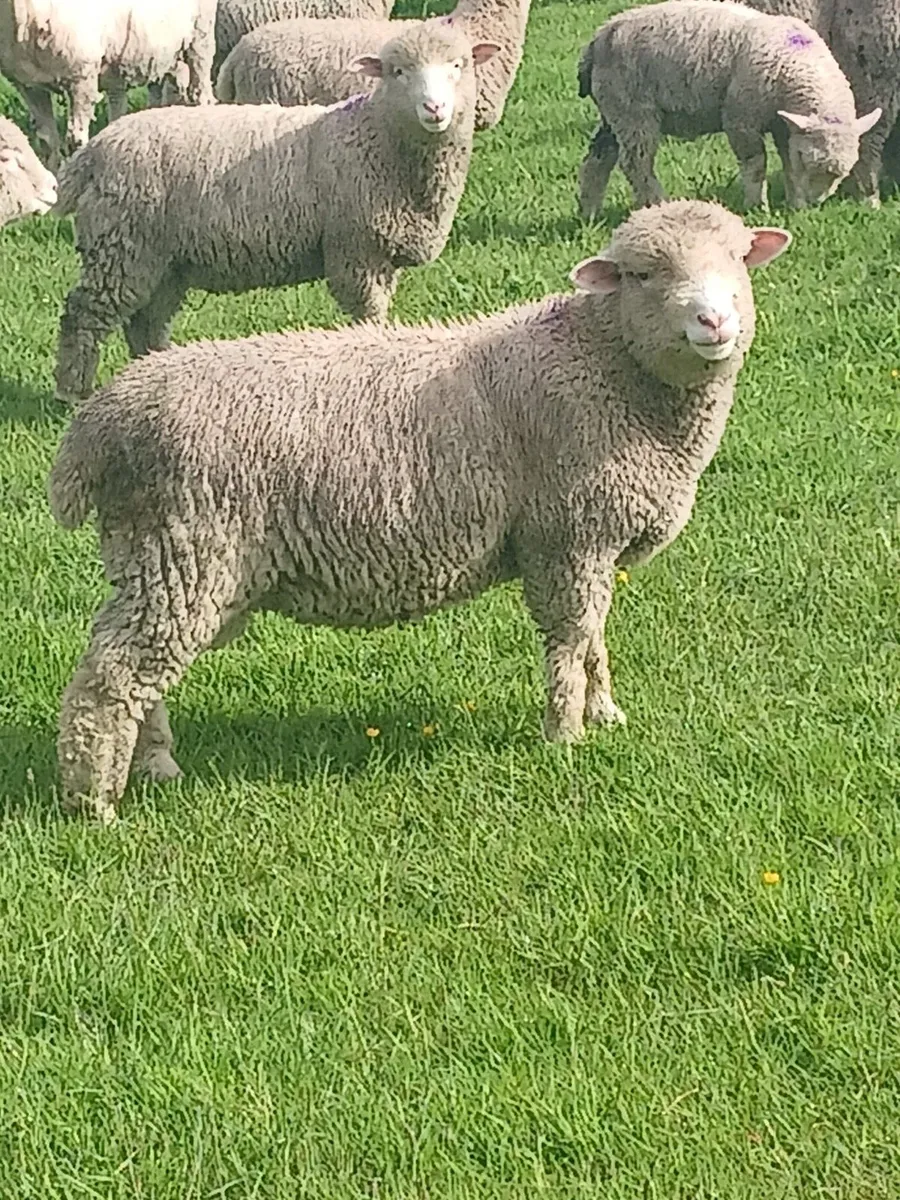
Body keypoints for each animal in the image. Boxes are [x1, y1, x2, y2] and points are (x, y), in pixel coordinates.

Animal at [0, 0, 217, 172]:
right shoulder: (30, 86)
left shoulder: (82, 79)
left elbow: (75, 140)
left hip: (200, 37)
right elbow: (47, 140)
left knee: (202, 94)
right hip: (160, 55)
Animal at [47, 198, 791, 823]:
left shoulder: (592, 542)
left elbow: (595, 638)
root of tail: (102, 418)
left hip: (163, 560)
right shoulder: (566, 536)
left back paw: (156, 765)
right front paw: (565, 734)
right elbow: (571, 638)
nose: (714, 321)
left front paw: (604, 711)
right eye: (642, 274)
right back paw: (94, 803)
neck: (607, 366)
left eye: (738, 260)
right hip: (182, 550)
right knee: (111, 679)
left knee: (140, 674)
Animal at [52, 22, 500, 407]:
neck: (376, 137)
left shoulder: (379, 252)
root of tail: (94, 152)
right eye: (398, 72)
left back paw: (155, 363)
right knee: (82, 315)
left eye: (458, 66)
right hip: (121, 245)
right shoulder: (356, 252)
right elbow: (368, 316)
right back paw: (72, 392)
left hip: (160, 260)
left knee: (146, 318)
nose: (434, 108)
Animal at [577, 0, 881, 218]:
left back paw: (589, 213)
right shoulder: (741, 119)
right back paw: (658, 203)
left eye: (843, 171)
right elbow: (756, 164)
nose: (816, 203)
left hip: (615, 110)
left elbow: (787, 164)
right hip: (635, 111)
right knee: (636, 164)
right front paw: (758, 207)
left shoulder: (784, 126)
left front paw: (796, 204)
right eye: (808, 157)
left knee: (598, 158)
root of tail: (598, 37)